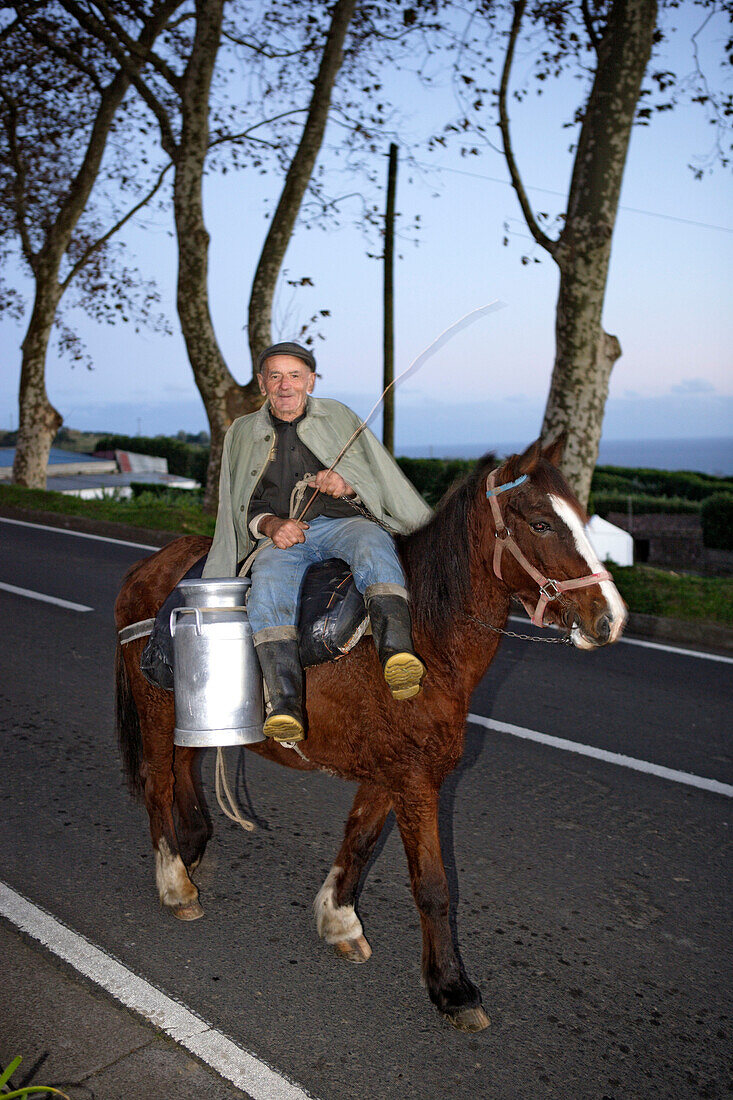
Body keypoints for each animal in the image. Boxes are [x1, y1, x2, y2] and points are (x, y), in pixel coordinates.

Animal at [112, 435, 620, 1029]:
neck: (426, 638)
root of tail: (149, 566)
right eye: (540, 523)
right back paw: (174, 882)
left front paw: (338, 919)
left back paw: (191, 848)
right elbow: (433, 886)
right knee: (157, 783)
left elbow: (359, 839)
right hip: (155, 708)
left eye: (583, 517)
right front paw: (451, 987)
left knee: (184, 771)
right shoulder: (417, 780)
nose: (610, 618)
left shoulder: (393, 772)